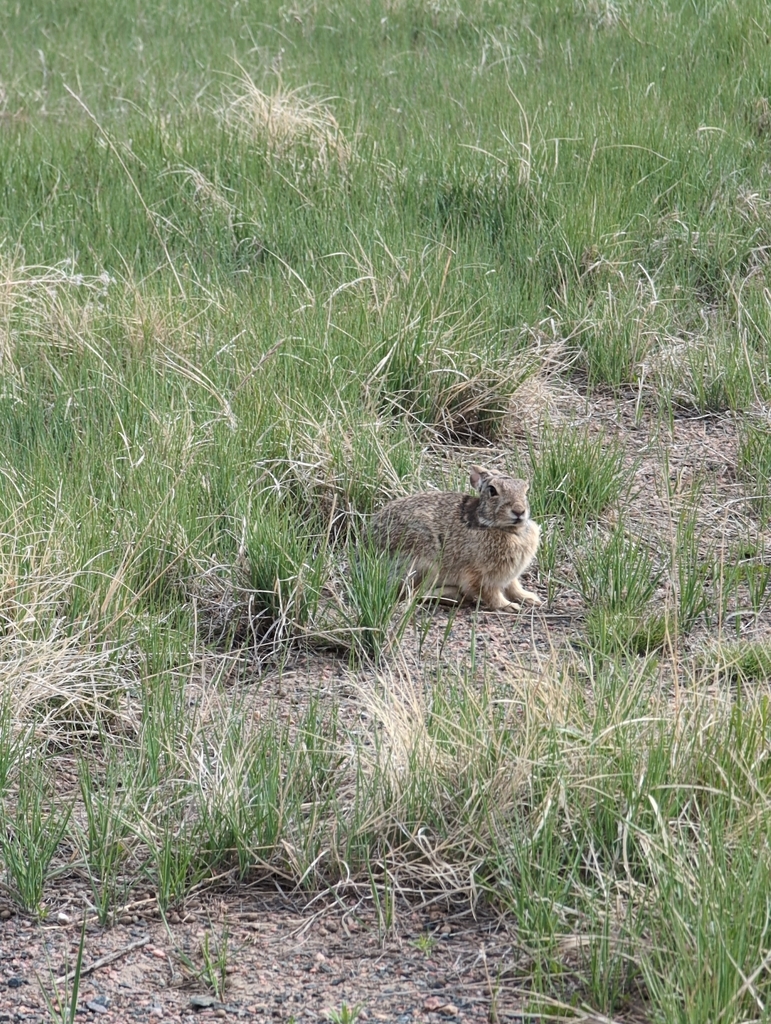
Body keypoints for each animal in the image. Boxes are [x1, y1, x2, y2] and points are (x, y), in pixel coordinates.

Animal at [371, 465, 542, 611]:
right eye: (492, 491)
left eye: (525, 490)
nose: (519, 511)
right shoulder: (479, 575)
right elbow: (490, 594)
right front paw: (509, 606)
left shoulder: (510, 574)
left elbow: (514, 587)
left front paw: (530, 598)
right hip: (423, 563)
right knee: (413, 594)